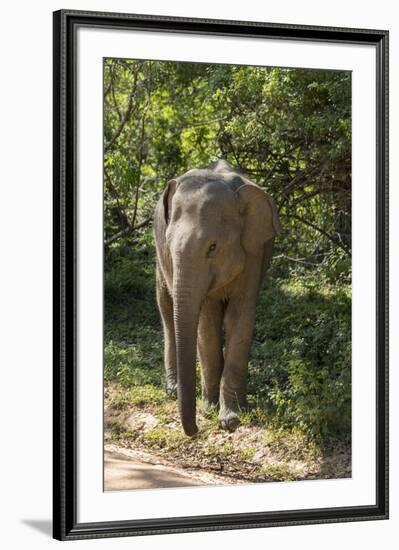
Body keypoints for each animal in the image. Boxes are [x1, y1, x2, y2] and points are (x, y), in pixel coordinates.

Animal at [153, 161, 282, 440]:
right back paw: (173, 389)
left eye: (212, 247)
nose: (195, 431)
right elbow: (207, 323)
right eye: (170, 245)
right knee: (167, 309)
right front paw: (210, 409)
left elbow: (239, 318)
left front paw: (231, 419)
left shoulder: (253, 251)